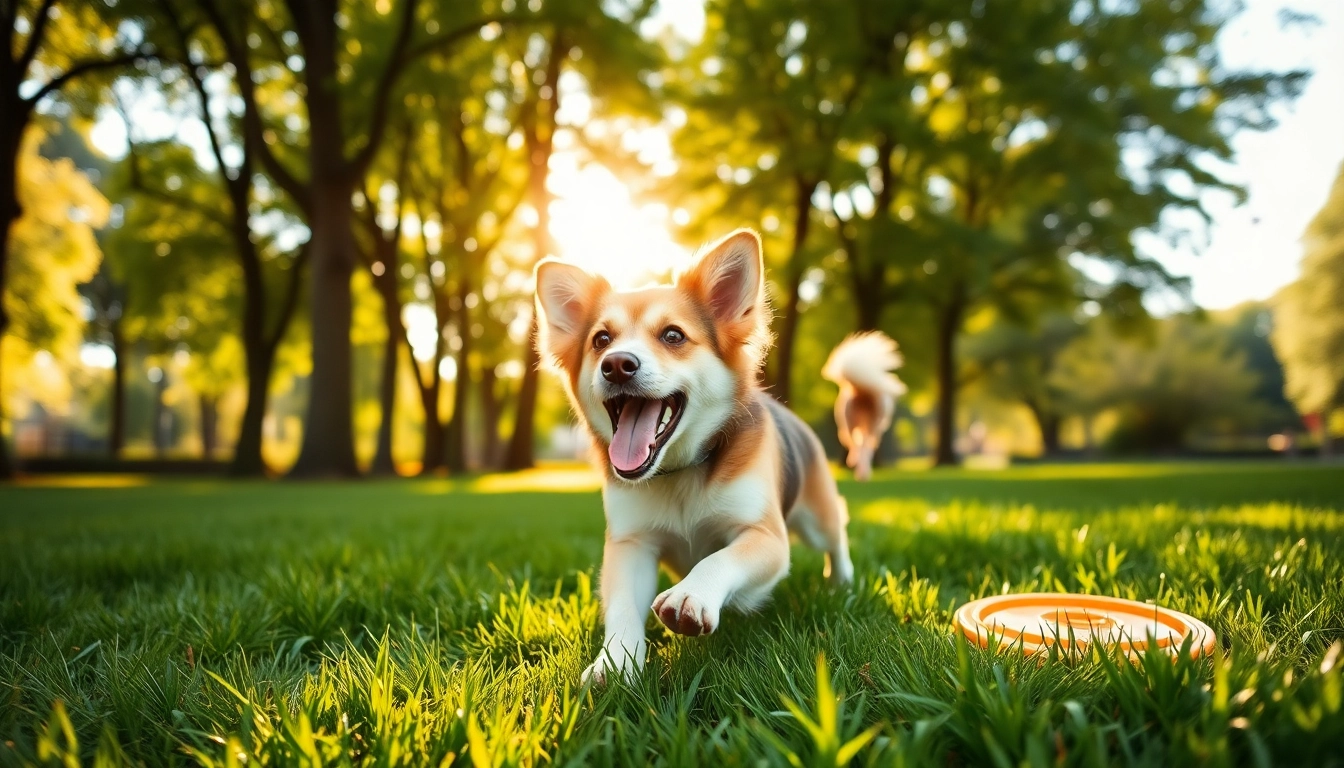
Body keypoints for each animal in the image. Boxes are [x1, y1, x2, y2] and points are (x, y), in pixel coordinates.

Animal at [817, 330, 903, 481]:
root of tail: (861, 391)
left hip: (848, 422)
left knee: (857, 446)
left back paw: (858, 468)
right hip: (868, 426)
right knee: (863, 448)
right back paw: (863, 471)